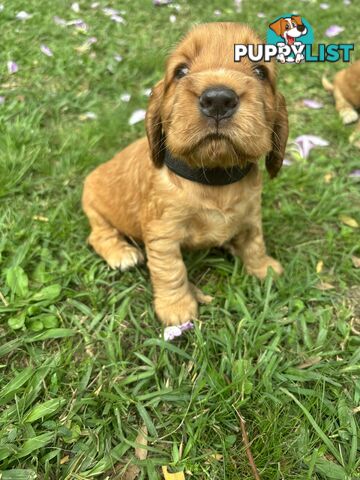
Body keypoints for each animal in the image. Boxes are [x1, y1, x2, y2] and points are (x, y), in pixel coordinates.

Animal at [82, 24, 290, 328]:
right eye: (180, 71)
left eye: (260, 71)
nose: (218, 100)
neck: (213, 178)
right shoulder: (162, 234)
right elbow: (171, 271)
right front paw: (177, 308)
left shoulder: (251, 214)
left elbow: (254, 243)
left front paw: (263, 268)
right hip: (94, 205)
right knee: (98, 234)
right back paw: (121, 253)